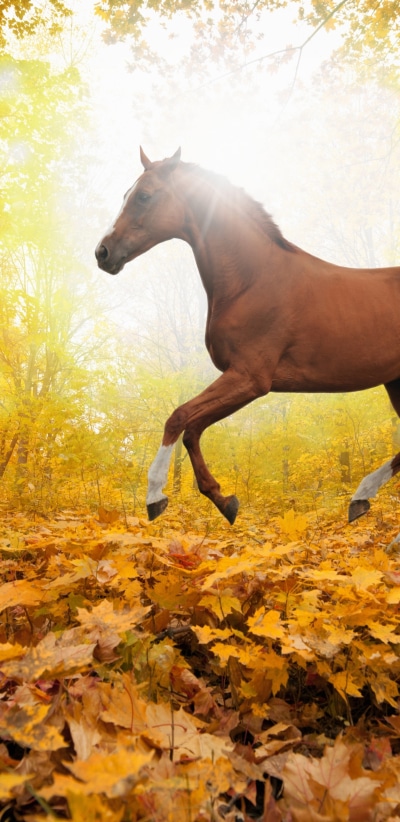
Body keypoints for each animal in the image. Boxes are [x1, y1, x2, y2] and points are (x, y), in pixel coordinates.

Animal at [95, 148, 400, 525]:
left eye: (144, 196)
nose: (102, 253)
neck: (252, 280)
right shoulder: (240, 380)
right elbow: (192, 429)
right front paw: (223, 500)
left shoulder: (250, 378)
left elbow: (178, 417)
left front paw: (155, 497)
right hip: (396, 383)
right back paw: (360, 499)